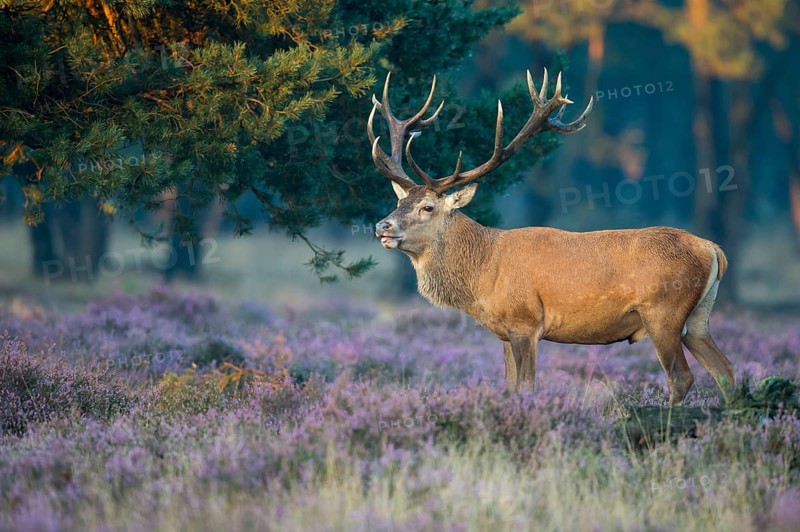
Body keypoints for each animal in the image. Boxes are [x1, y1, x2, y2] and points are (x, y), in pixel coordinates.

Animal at [369, 69, 736, 405]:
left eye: (428, 207)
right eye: (399, 202)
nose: (381, 226)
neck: (483, 274)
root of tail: (713, 250)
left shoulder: (526, 321)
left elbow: (527, 387)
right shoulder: (505, 332)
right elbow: (509, 388)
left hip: (663, 311)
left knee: (682, 378)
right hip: (698, 318)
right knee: (726, 371)